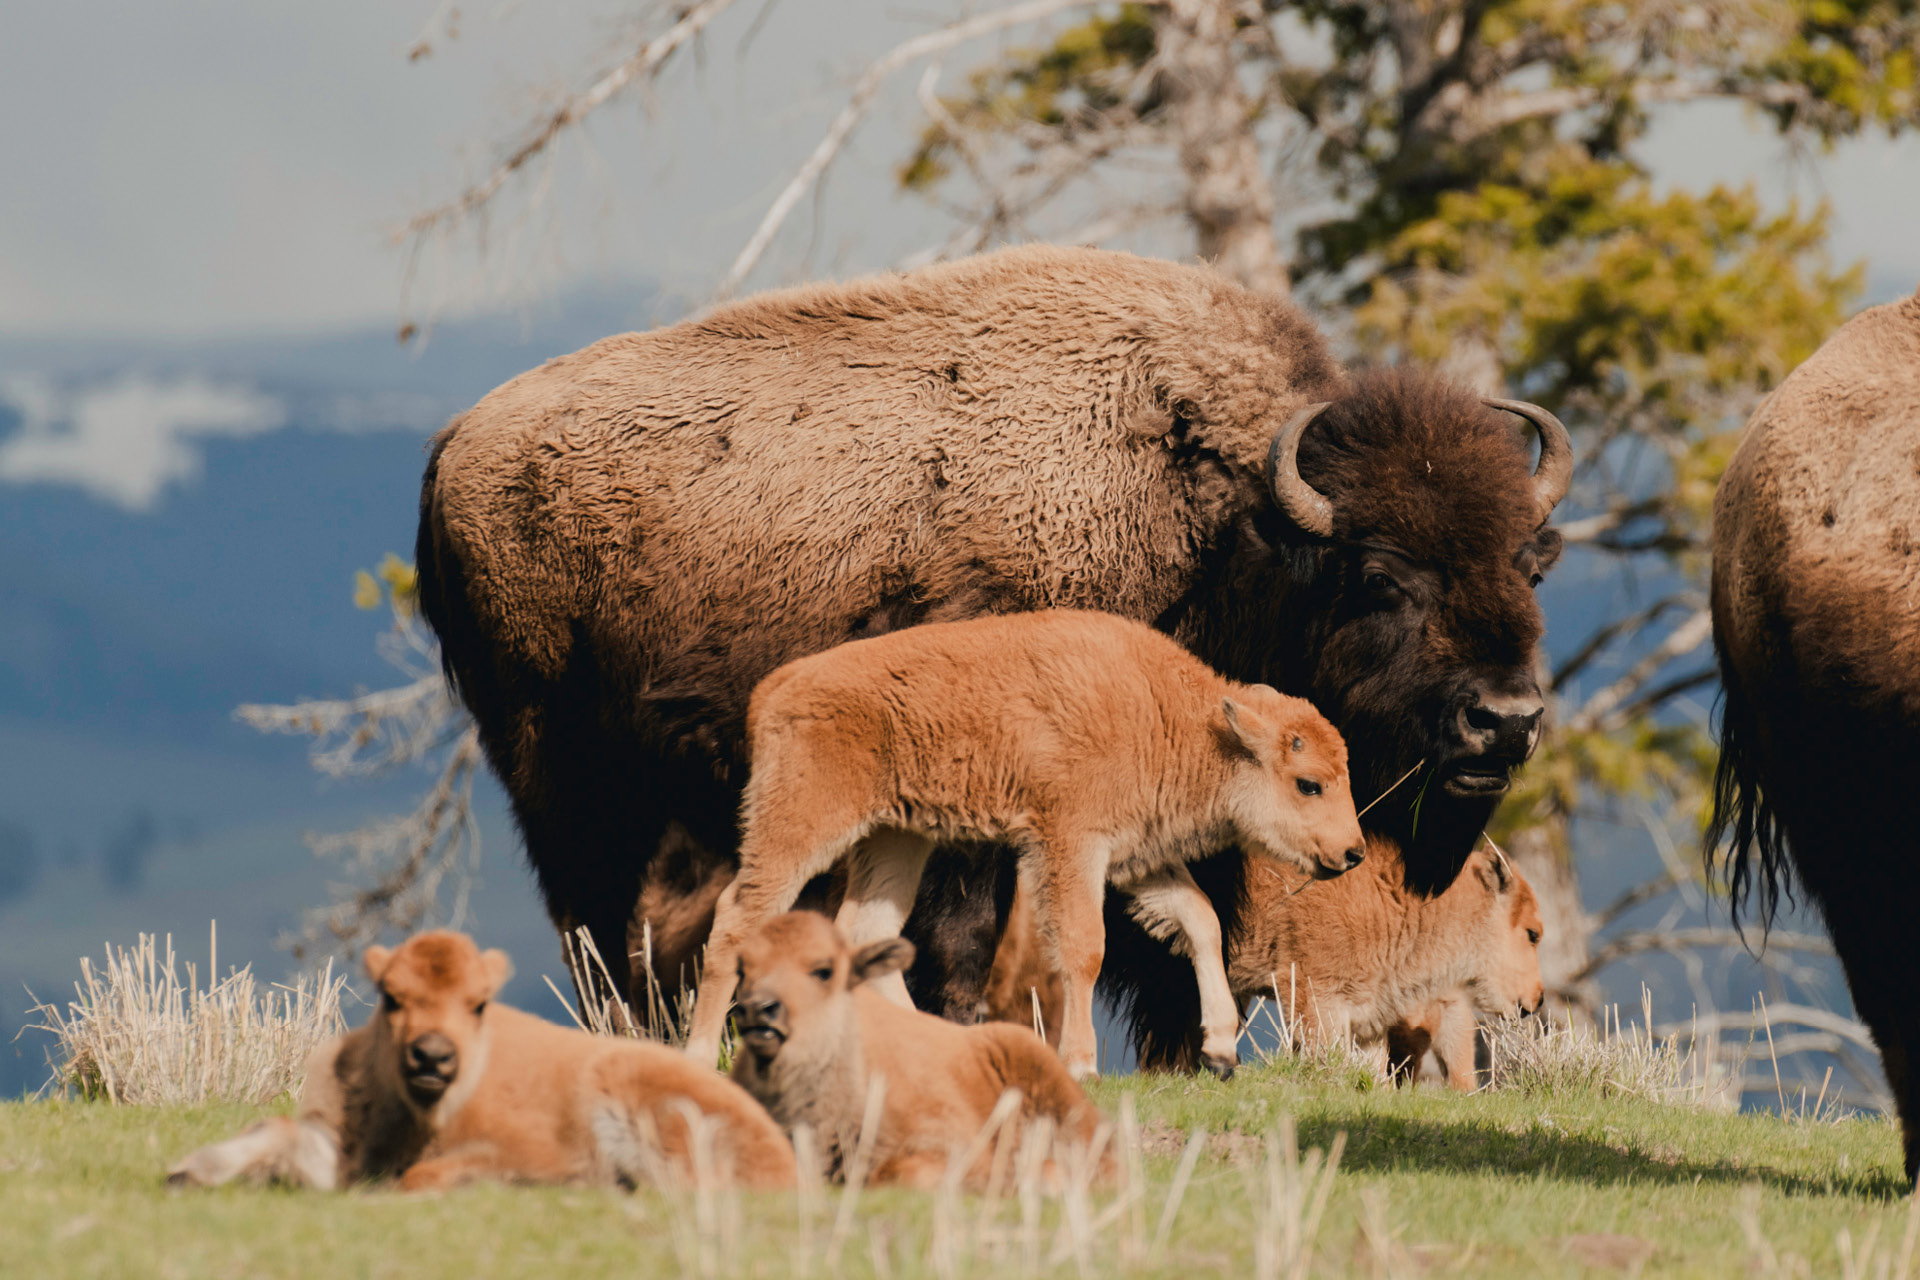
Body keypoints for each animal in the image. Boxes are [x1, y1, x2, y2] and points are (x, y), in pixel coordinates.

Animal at [681, 609, 1364, 1077]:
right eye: (1308, 783)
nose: (1353, 852)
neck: (1179, 719)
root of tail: (776, 687)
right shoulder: (1071, 848)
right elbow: (1085, 948)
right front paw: (1081, 1062)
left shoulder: (1136, 858)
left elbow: (1201, 921)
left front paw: (1221, 1049)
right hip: (800, 824)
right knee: (737, 920)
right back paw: (696, 1055)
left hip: (896, 837)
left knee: (867, 928)